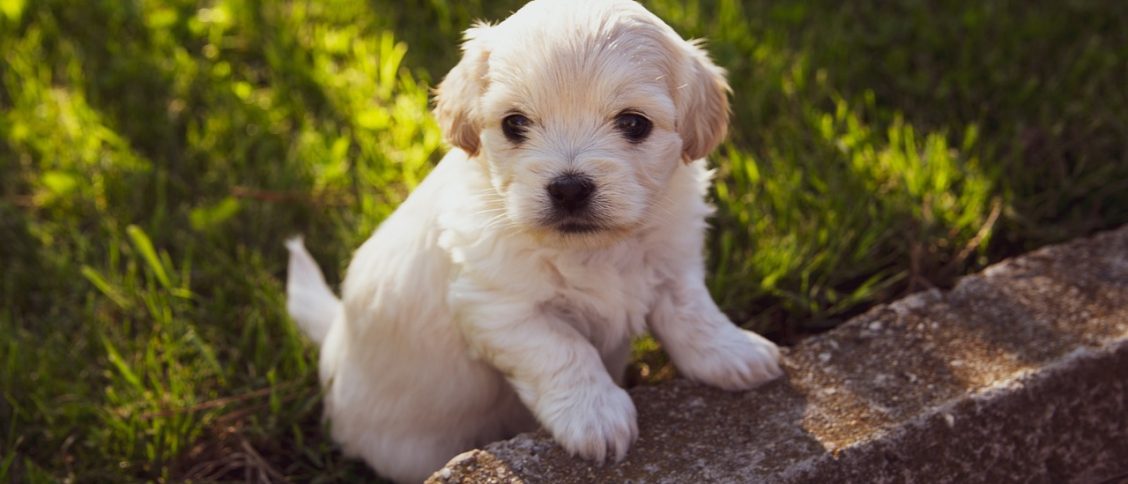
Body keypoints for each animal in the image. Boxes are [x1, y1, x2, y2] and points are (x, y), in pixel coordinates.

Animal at [284, 1, 785, 480]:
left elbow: (692, 312)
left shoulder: (673, 260)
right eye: (514, 124)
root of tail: (333, 341)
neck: (594, 249)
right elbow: (563, 349)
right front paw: (596, 416)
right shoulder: (499, 307)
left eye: (634, 124)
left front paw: (733, 353)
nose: (569, 188)